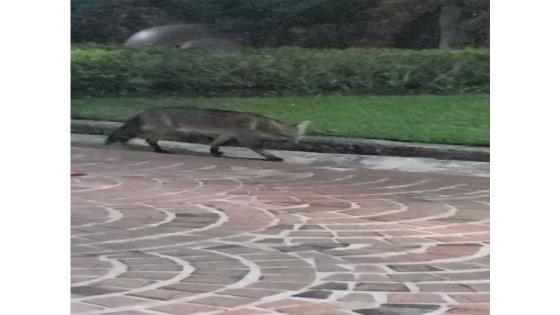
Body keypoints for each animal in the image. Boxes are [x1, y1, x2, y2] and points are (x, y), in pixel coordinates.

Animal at [103, 107, 308, 163]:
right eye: (290, 138)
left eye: (298, 138)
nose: (297, 145)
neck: (258, 122)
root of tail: (146, 110)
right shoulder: (245, 137)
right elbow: (260, 149)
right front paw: (272, 156)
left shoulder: (227, 134)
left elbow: (215, 144)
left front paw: (215, 152)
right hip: (168, 131)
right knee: (146, 136)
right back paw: (157, 148)